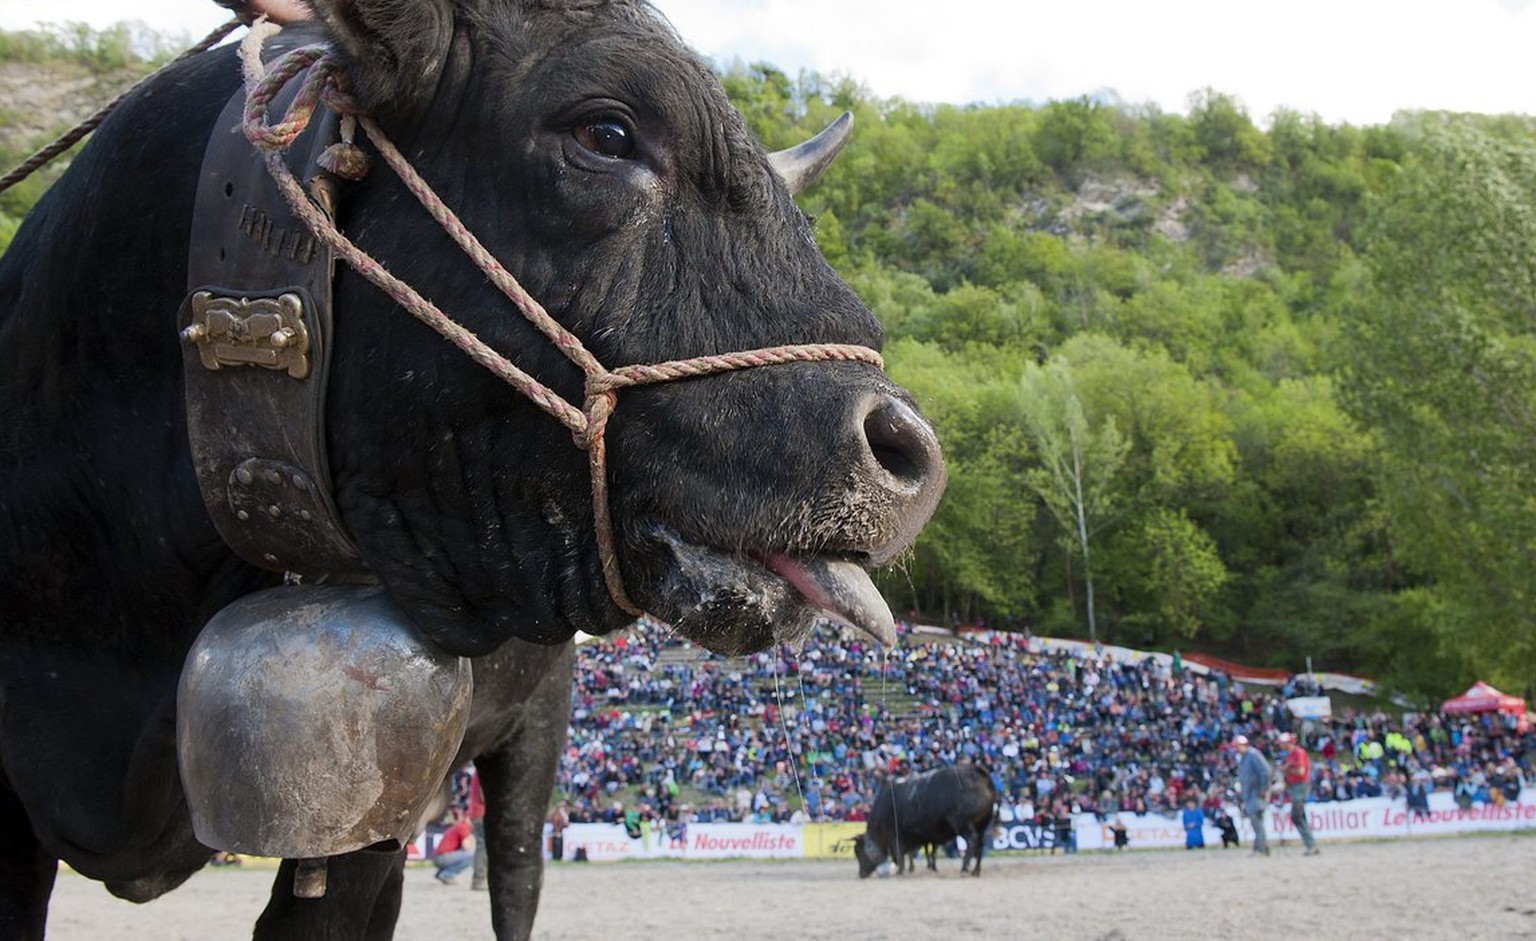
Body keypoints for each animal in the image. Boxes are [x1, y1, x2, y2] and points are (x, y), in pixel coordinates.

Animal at [854, 767, 995, 878]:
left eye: (859, 852)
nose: (861, 874)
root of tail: (976, 772)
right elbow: (916, 852)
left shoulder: (895, 835)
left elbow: (900, 853)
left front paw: (900, 870)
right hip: (982, 826)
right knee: (980, 844)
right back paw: (976, 871)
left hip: (964, 825)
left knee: (972, 841)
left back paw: (965, 869)